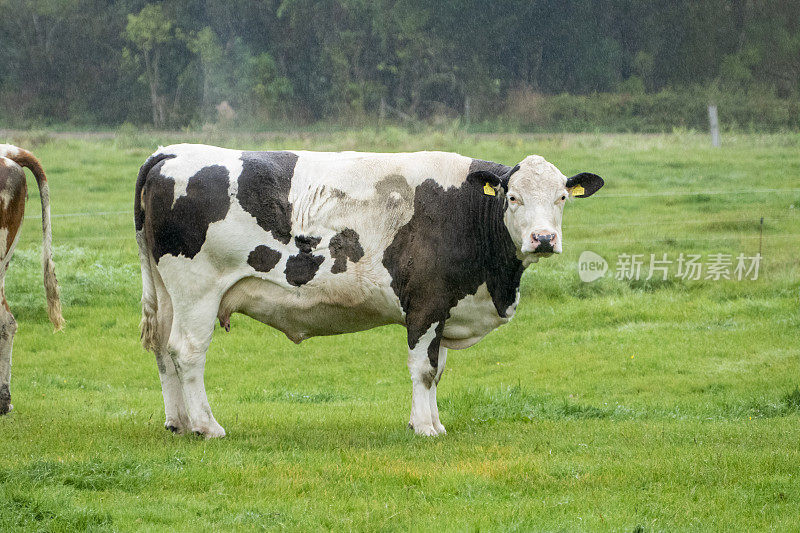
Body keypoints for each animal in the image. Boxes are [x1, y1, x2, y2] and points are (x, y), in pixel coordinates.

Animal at [134, 144, 604, 436]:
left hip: (166, 292)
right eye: (513, 197)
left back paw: (179, 422)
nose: (543, 238)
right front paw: (426, 428)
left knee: (162, 349)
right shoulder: (426, 303)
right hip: (197, 289)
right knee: (187, 352)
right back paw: (206, 426)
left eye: (562, 197)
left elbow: (438, 370)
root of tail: (169, 153)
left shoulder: (446, 309)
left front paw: (432, 421)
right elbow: (424, 369)